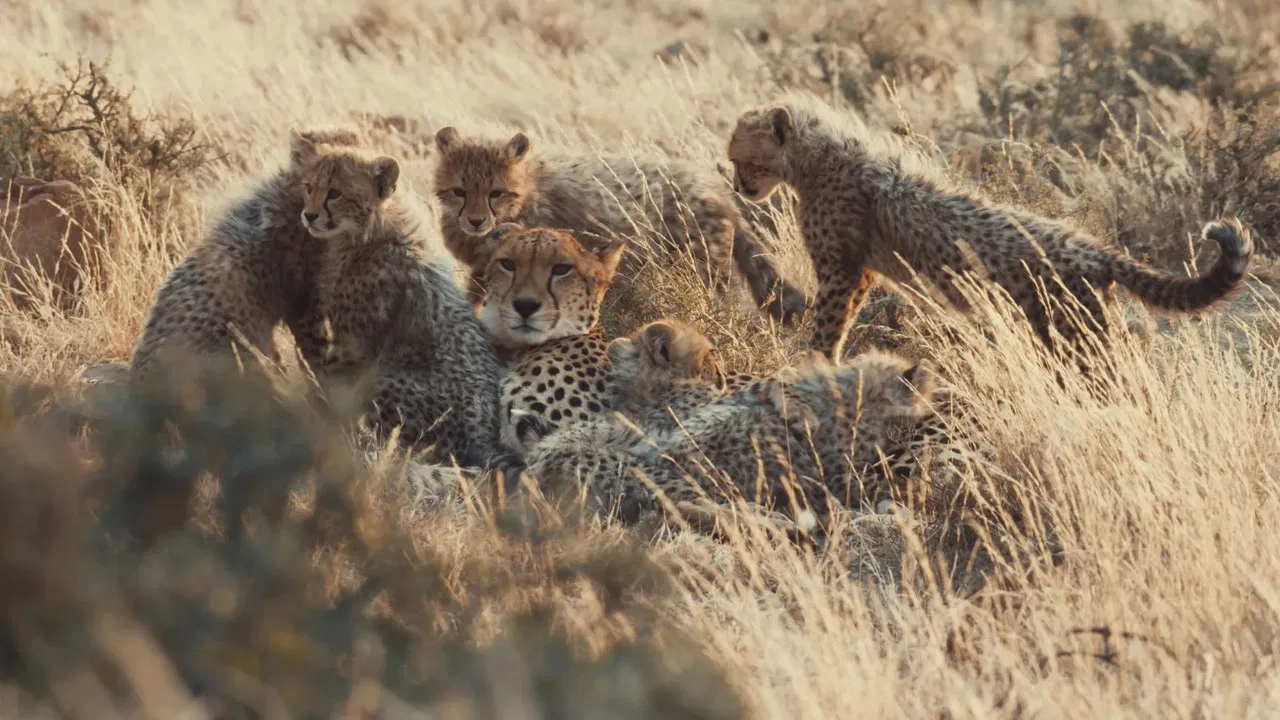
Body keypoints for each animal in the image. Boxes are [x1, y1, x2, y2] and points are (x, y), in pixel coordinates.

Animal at [431, 125, 810, 323]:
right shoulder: (484, 269)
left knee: (732, 305)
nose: (476, 220)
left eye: (495, 193)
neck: (525, 193)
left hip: (705, 269)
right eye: (459, 191)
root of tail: (716, 188)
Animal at [726, 91, 1255, 365]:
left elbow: (826, 326)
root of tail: (1095, 250)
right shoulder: (862, 273)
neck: (816, 157)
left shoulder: (841, 270)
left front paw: (810, 365)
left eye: (740, 158)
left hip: (1075, 337)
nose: (737, 186)